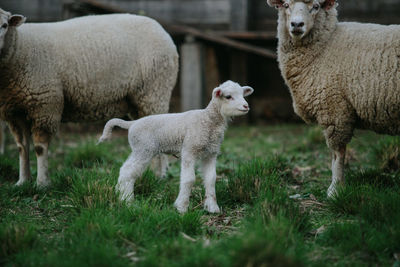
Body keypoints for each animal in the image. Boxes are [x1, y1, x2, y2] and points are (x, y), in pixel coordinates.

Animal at [0, 8, 178, 188]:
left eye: (5, 25)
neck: (20, 48)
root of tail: (162, 31)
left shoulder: (45, 106)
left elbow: (39, 148)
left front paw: (42, 184)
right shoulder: (14, 112)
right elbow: (22, 147)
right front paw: (22, 182)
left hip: (155, 91)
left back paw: (159, 176)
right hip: (139, 99)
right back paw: (151, 175)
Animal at [97, 80, 253, 215]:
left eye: (242, 94)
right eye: (228, 96)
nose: (246, 106)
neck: (208, 120)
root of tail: (132, 123)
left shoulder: (211, 153)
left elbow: (211, 179)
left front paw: (213, 208)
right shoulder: (189, 150)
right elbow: (189, 179)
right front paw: (181, 207)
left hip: (140, 149)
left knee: (125, 170)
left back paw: (120, 195)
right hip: (143, 149)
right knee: (127, 172)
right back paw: (127, 200)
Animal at [266, 0, 400, 197]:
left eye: (316, 6)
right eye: (286, 5)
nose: (297, 25)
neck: (326, 45)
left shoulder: (335, 110)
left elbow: (337, 154)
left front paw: (335, 189)